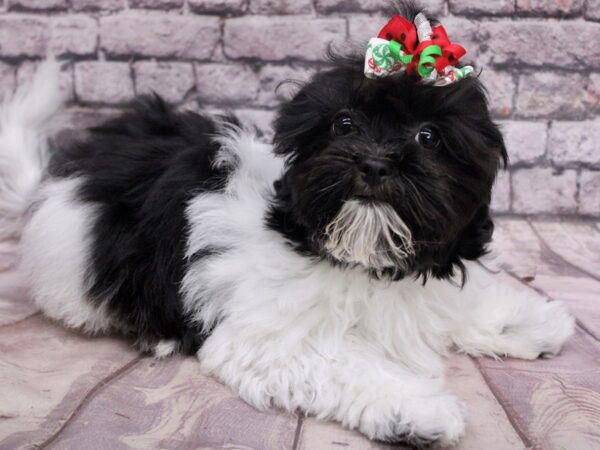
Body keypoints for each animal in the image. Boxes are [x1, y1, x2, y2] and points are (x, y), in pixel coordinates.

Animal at [0, 2, 576, 446]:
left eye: (429, 137)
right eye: (343, 124)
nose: (374, 162)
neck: (359, 262)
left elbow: (460, 302)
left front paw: (530, 321)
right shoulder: (272, 339)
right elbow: (348, 364)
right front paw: (418, 410)